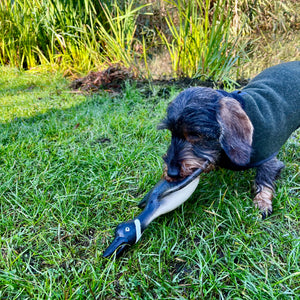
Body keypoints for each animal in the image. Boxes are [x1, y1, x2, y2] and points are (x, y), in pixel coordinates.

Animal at [158, 61, 298, 218]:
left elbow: (265, 179)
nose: (171, 173)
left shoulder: (268, 159)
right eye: (171, 133)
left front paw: (262, 203)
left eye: (196, 135)